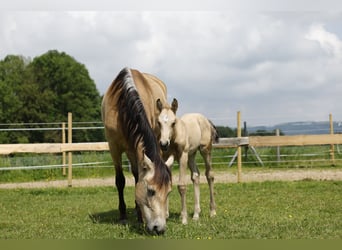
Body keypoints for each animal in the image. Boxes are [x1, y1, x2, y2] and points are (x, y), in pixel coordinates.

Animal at [101, 68, 174, 234]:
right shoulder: (114, 147)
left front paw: (140, 217)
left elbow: (136, 179)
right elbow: (120, 180)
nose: (159, 228)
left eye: (168, 192)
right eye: (151, 191)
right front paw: (123, 216)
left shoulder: (134, 148)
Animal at [156, 98, 218, 226]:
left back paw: (212, 211)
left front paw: (184, 219)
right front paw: (165, 215)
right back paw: (196, 214)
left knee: (209, 175)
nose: (163, 144)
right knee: (196, 175)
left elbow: (182, 186)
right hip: (191, 155)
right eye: (159, 122)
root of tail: (205, 120)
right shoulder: (166, 157)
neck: (174, 138)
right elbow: (166, 181)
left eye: (173, 122)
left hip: (205, 150)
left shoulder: (182, 157)